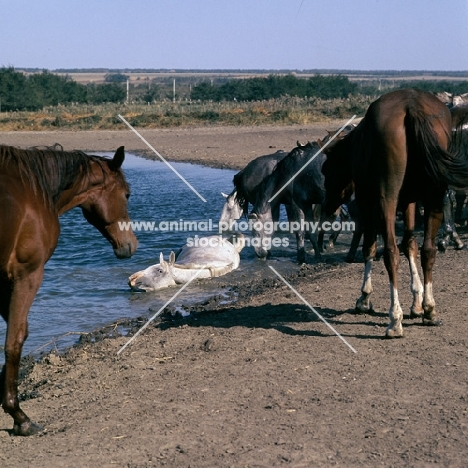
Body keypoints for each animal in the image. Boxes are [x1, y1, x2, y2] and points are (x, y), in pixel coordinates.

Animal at [0, 146, 137, 436]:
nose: (131, 244)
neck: (32, 189)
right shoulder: (27, 274)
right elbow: (15, 340)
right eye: (127, 194)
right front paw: (19, 416)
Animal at [322, 88, 468, 336]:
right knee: (428, 250)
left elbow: (370, 247)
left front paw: (365, 298)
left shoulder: (367, 200)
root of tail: (412, 106)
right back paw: (430, 310)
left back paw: (394, 319)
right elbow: (410, 245)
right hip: (433, 195)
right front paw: (417, 302)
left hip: (386, 198)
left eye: (325, 169)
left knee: (390, 252)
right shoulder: (409, 202)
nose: (326, 206)